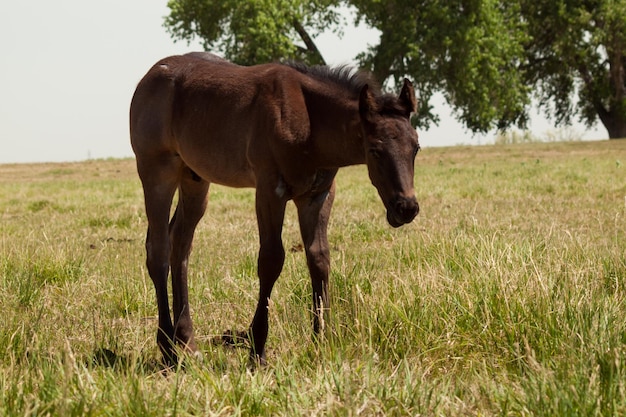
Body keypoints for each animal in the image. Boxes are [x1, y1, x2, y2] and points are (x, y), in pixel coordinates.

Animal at [129, 52, 416, 364]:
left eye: (416, 147)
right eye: (375, 150)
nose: (406, 208)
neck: (309, 122)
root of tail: (150, 76)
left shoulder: (318, 196)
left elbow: (319, 258)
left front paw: (321, 341)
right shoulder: (269, 191)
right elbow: (271, 260)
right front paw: (257, 348)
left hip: (194, 178)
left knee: (181, 244)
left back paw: (188, 341)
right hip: (157, 171)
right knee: (159, 249)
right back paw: (167, 348)